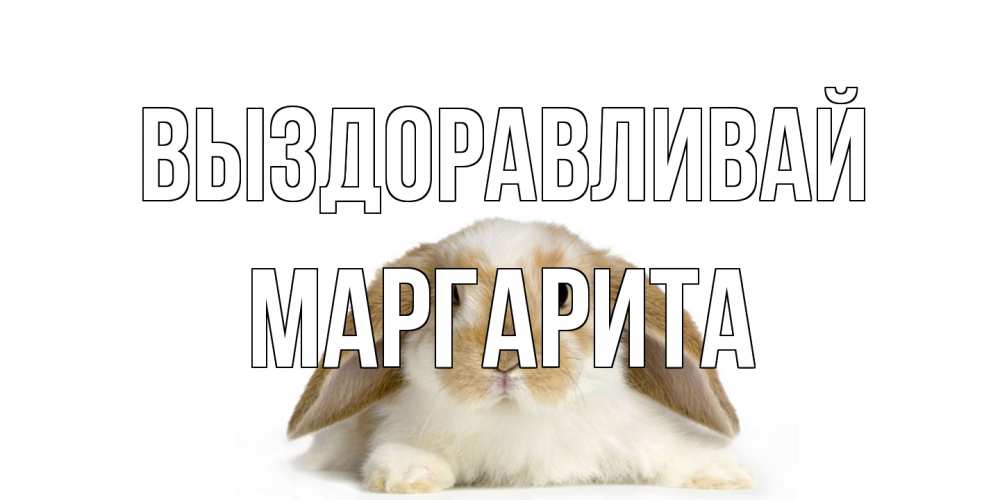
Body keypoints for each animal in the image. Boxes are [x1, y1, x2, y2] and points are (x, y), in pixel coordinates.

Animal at [287, 218, 752, 493]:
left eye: (563, 294)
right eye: (452, 296)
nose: (506, 359)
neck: (515, 419)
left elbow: (671, 451)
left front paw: (725, 474)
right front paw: (408, 474)